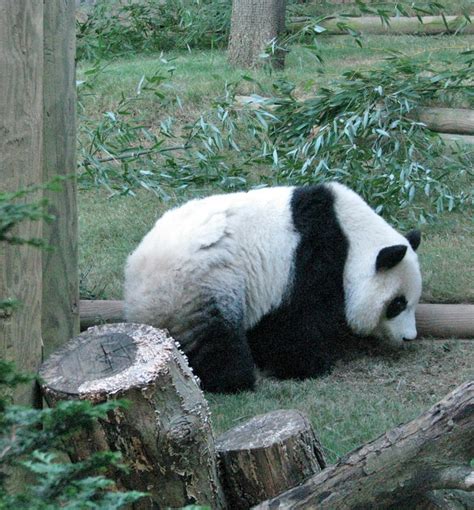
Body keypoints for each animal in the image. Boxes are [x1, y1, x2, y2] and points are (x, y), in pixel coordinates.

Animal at [123, 184, 422, 394]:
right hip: (203, 284)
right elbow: (297, 320)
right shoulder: (311, 261)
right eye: (397, 304)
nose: (409, 337)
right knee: (214, 339)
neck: (353, 236)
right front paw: (308, 365)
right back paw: (233, 381)